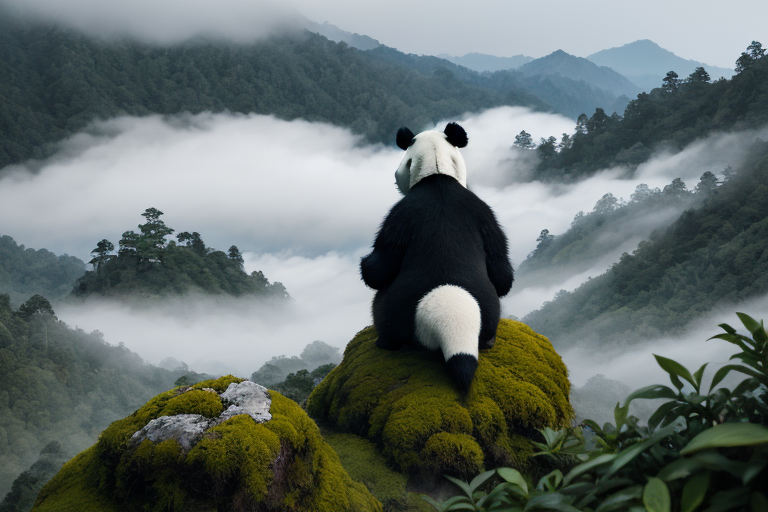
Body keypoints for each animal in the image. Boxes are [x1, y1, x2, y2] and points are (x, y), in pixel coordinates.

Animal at [360, 122, 514, 391]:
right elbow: (501, 271)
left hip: (395, 309)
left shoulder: (401, 215)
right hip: (489, 308)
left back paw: (383, 342)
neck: (437, 172)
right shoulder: (484, 214)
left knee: (384, 314)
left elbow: (380, 268)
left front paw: (365, 265)